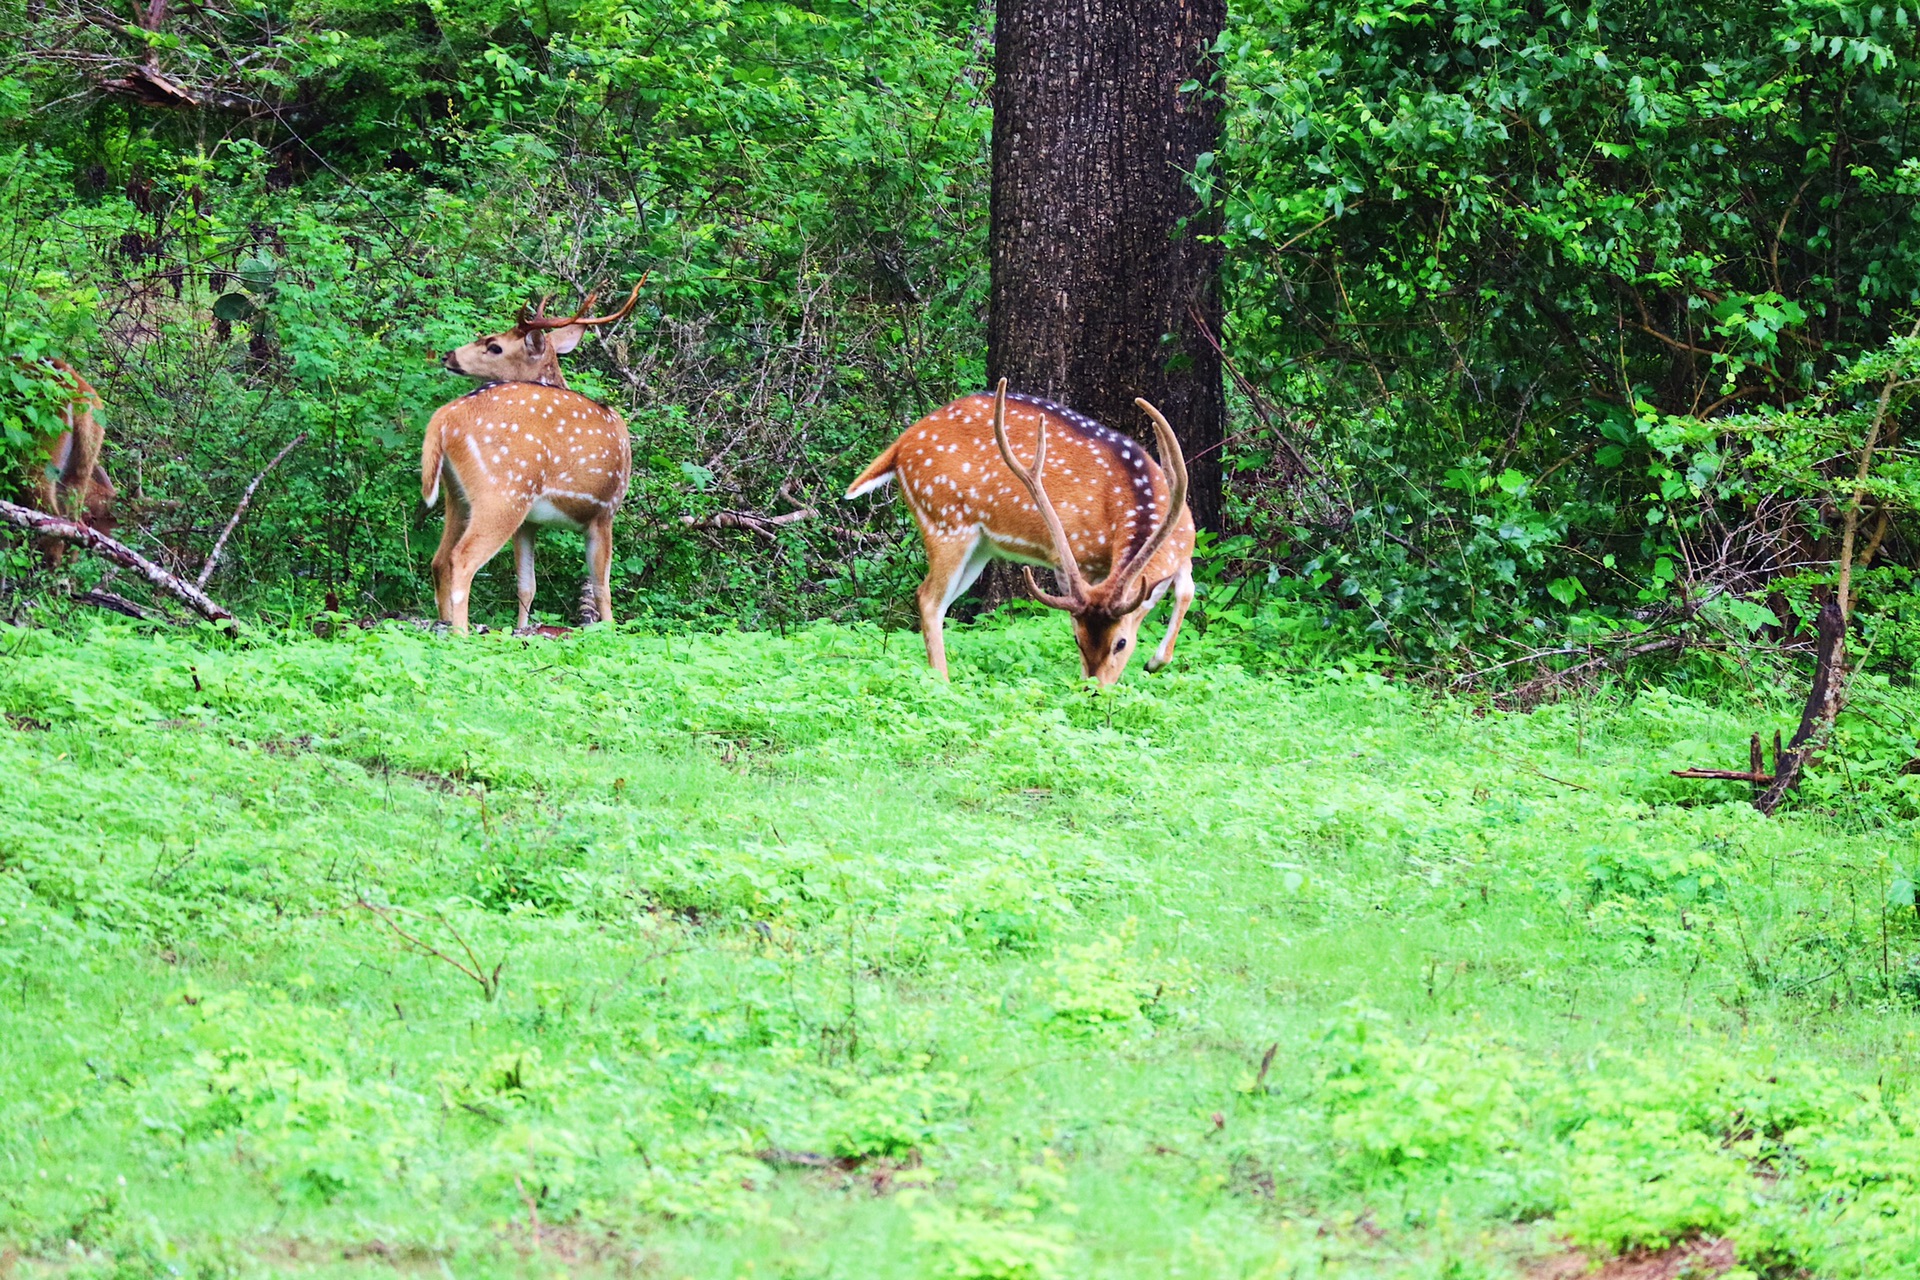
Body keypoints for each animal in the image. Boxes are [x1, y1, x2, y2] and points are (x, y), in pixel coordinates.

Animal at [420, 285, 637, 637]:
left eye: (494, 345)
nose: (448, 356)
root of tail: (444, 417)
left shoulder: (530, 523)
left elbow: (527, 585)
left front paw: (522, 630)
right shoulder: (604, 510)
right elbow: (602, 588)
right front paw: (610, 633)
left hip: (458, 495)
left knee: (439, 559)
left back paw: (447, 623)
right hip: (504, 492)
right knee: (461, 559)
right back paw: (461, 634)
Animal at [848, 378, 1190, 687]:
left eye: (1121, 643)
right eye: (1077, 641)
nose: (1093, 690)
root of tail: (899, 446)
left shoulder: (1184, 549)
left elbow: (1186, 591)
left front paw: (1155, 661)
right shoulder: (1076, 556)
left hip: (979, 547)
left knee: (940, 602)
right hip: (945, 521)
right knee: (928, 598)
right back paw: (942, 683)